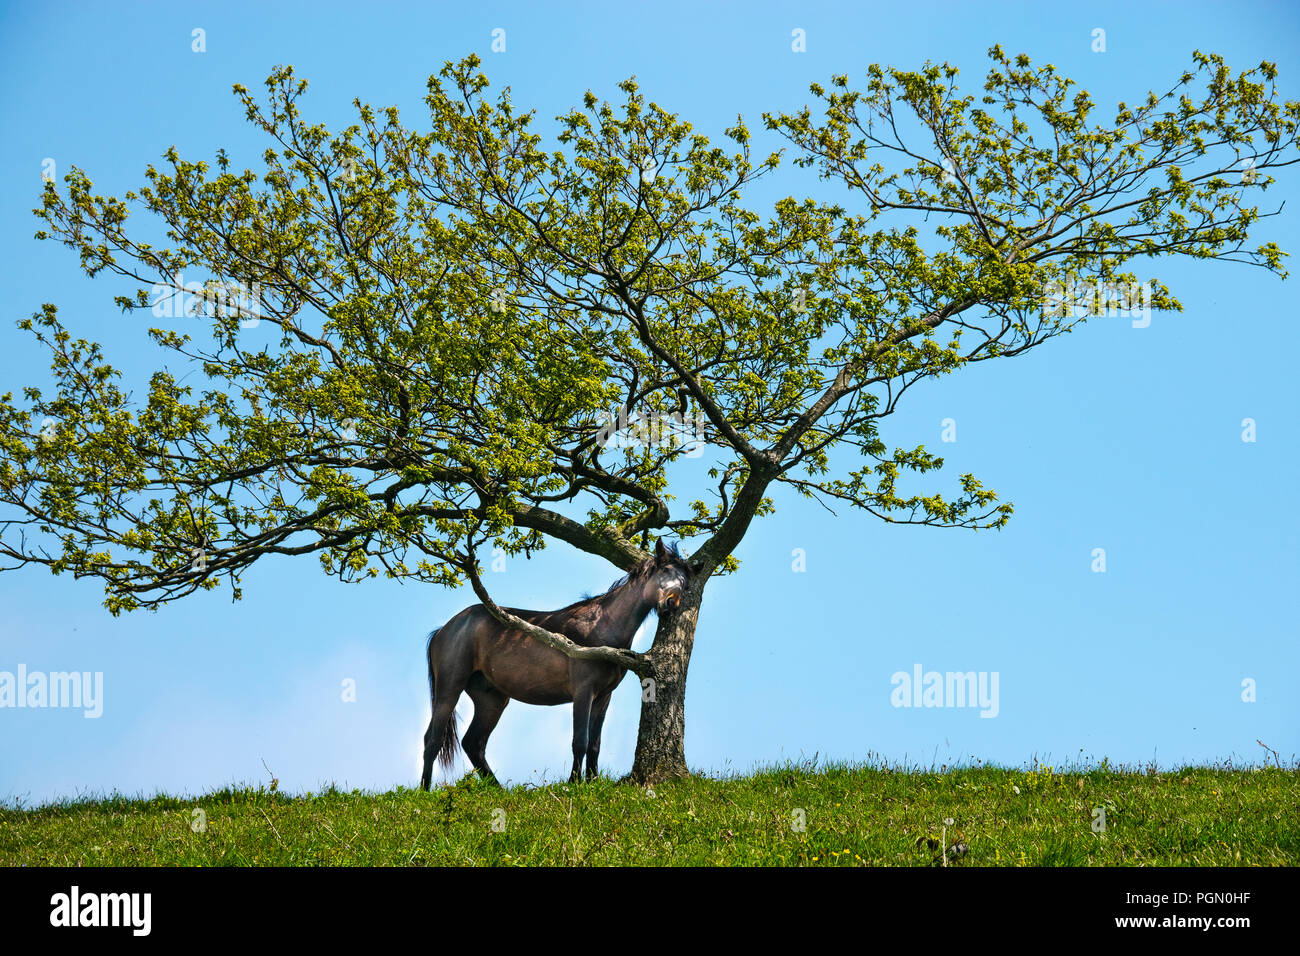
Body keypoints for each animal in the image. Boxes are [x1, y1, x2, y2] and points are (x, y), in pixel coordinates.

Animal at [419, 539, 691, 789]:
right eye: (664, 571)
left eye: (685, 582)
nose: (672, 603)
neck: (600, 627)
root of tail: (444, 629)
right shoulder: (583, 692)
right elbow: (579, 741)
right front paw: (574, 784)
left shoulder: (604, 696)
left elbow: (595, 743)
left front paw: (592, 782)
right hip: (449, 689)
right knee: (433, 739)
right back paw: (424, 790)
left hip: (492, 699)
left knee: (473, 743)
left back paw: (497, 789)